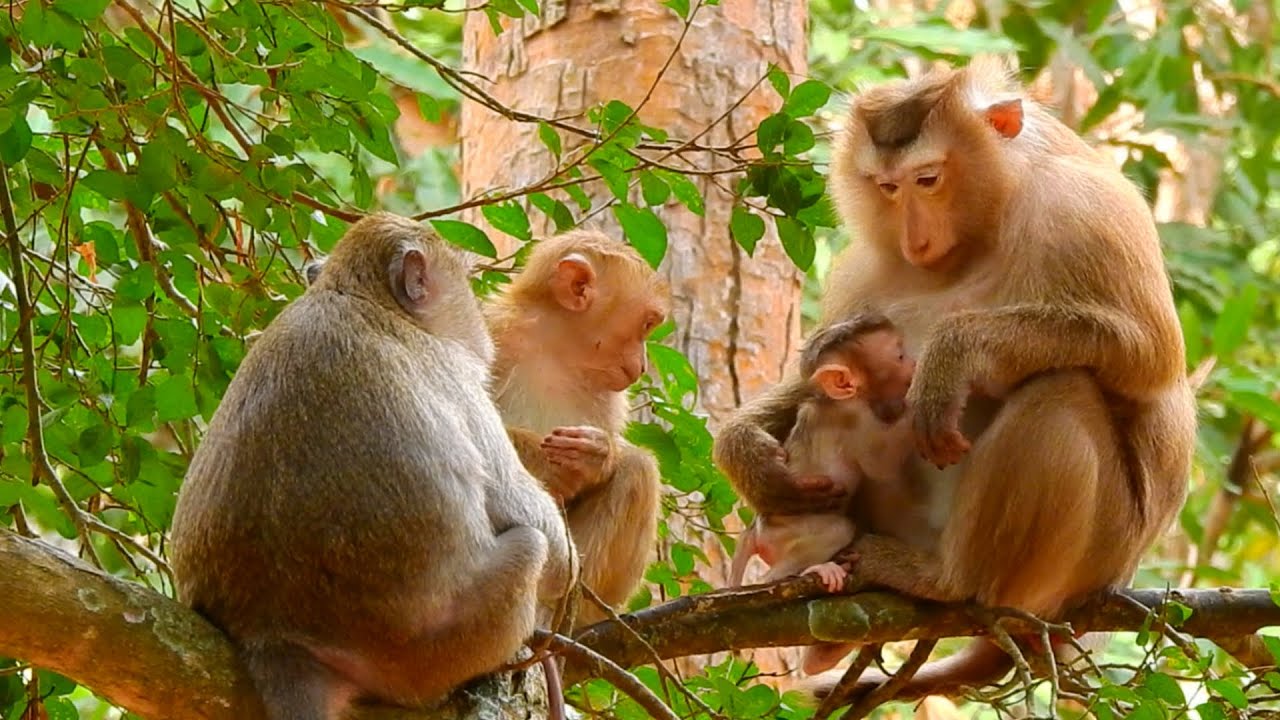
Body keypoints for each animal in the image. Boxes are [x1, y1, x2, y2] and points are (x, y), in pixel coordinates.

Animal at [169, 213, 578, 720]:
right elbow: (524, 514)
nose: (482, 327)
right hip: (426, 648)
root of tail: (274, 634)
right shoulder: (456, 375)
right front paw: (567, 569)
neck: (356, 294)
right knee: (529, 545)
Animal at [485, 228, 668, 627]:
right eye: (646, 324)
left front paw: (597, 457)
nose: (643, 365)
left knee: (638, 469)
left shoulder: (611, 395)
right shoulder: (492, 329)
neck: (557, 350)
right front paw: (547, 462)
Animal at [713, 56, 1196, 704]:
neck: (986, 224)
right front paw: (747, 455)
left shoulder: (1084, 209)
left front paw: (954, 354)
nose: (916, 239)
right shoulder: (864, 265)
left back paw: (946, 580)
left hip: (1090, 558)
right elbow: (823, 374)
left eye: (928, 179)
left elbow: (1149, 354)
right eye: (888, 188)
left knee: (1061, 389)